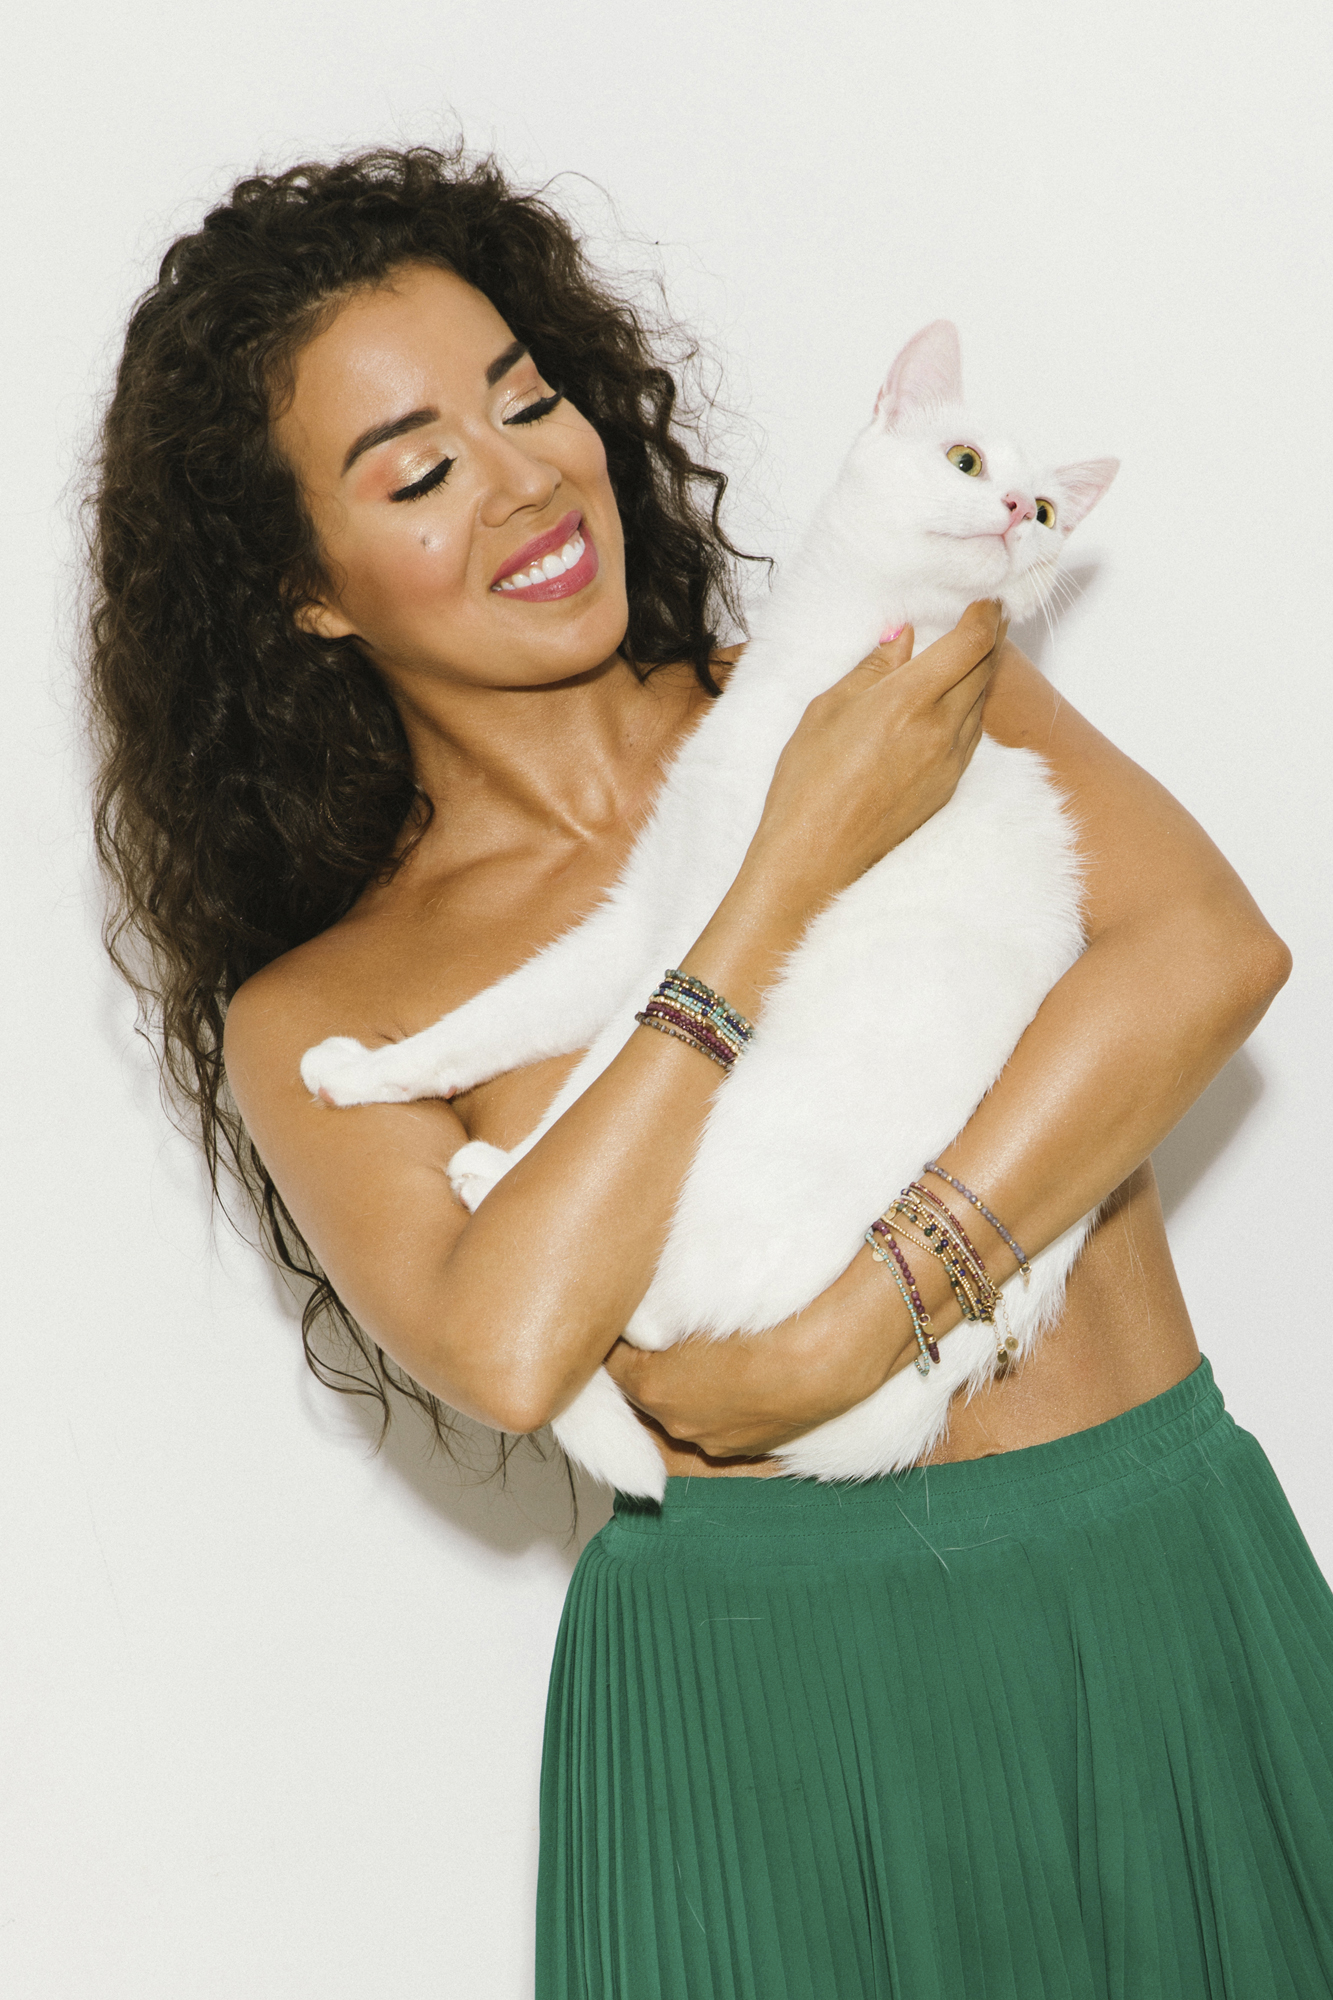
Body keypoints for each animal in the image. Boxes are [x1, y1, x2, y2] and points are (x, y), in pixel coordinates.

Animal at [301, 321, 1118, 1502]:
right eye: (966, 461)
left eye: (1047, 511)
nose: (1017, 510)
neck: (830, 669)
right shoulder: (646, 912)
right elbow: (494, 1019)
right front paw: (366, 1072)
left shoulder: (691, 929)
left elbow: (599, 1065)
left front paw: (511, 1165)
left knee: (668, 1314)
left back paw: (497, 1188)